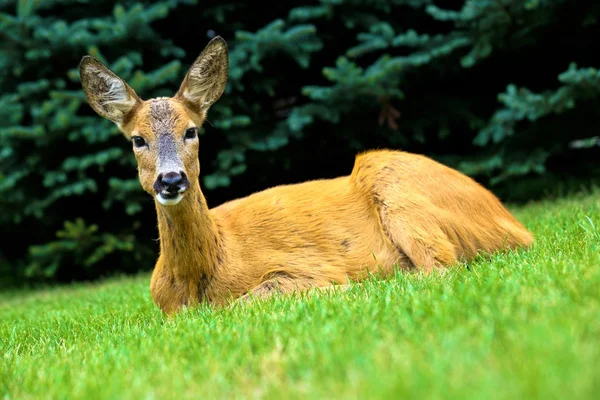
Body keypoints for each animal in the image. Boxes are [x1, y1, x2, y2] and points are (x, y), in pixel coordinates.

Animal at [79, 36, 536, 314]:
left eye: (191, 131)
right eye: (137, 139)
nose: (171, 180)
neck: (200, 275)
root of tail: (511, 221)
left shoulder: (298, 266)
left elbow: (256, 296)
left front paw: (344, 287)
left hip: (395, 184)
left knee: (440, 267)